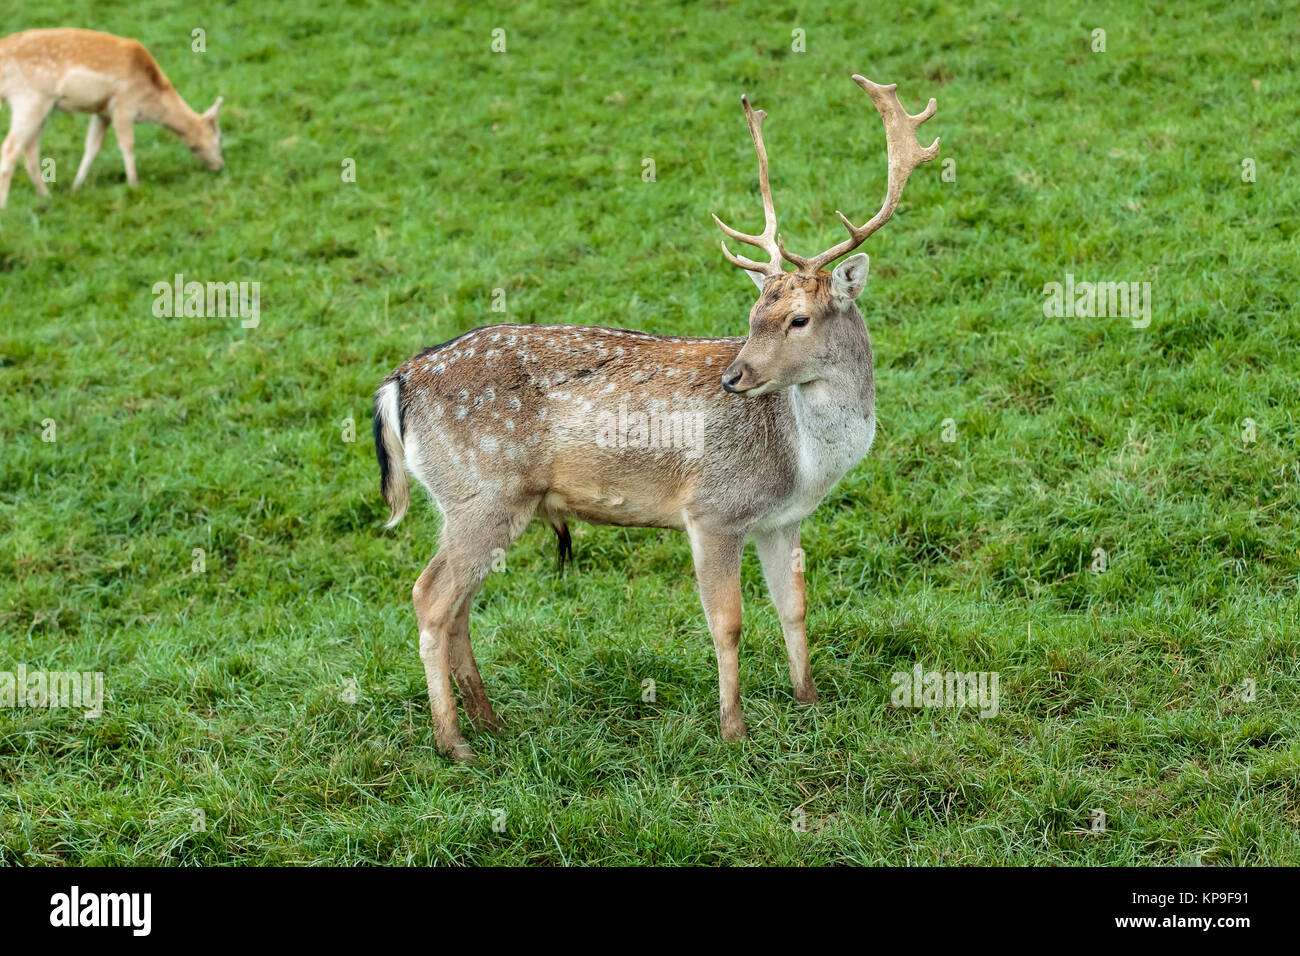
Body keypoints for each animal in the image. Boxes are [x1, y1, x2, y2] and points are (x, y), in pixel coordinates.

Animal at [0, 27, 222, 210]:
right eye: (219, 138)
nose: (220, 166)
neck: (150, 99)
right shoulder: (123, 106)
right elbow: (127, 145)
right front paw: (134, 185)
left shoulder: (102, 112)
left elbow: (92, 147)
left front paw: (75, 187)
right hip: (28, 98)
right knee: (10, 148)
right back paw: (5, 205)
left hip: (42, 106)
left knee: (29, 151)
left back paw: (46, 196)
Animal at [371, 74, 941, 759]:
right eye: (754, 315)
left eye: (797, 318)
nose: (733, 377)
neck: (802, 459)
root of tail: (400, 383)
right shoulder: (714, 508)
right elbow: (728, 623)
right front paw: (733, 732)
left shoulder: (781, 519)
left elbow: (795, 607)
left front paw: (809, 703)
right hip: (484, 490)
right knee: (430, 596)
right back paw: (454, 743)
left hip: (477, 502)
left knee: (457, 602)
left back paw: (490, 722)